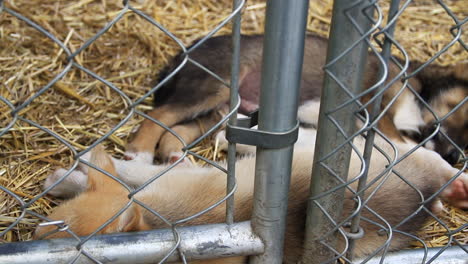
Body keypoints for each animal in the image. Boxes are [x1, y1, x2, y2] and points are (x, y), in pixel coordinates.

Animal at [122, 33, 466, 165]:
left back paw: (173, 155)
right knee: (160, 116)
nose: (454, 157)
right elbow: (399, 142)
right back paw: (138, 153)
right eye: (460, 112)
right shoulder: (375, 106)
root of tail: (181, 56)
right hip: (215, 85)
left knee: (177, 127)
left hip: (219, 110)